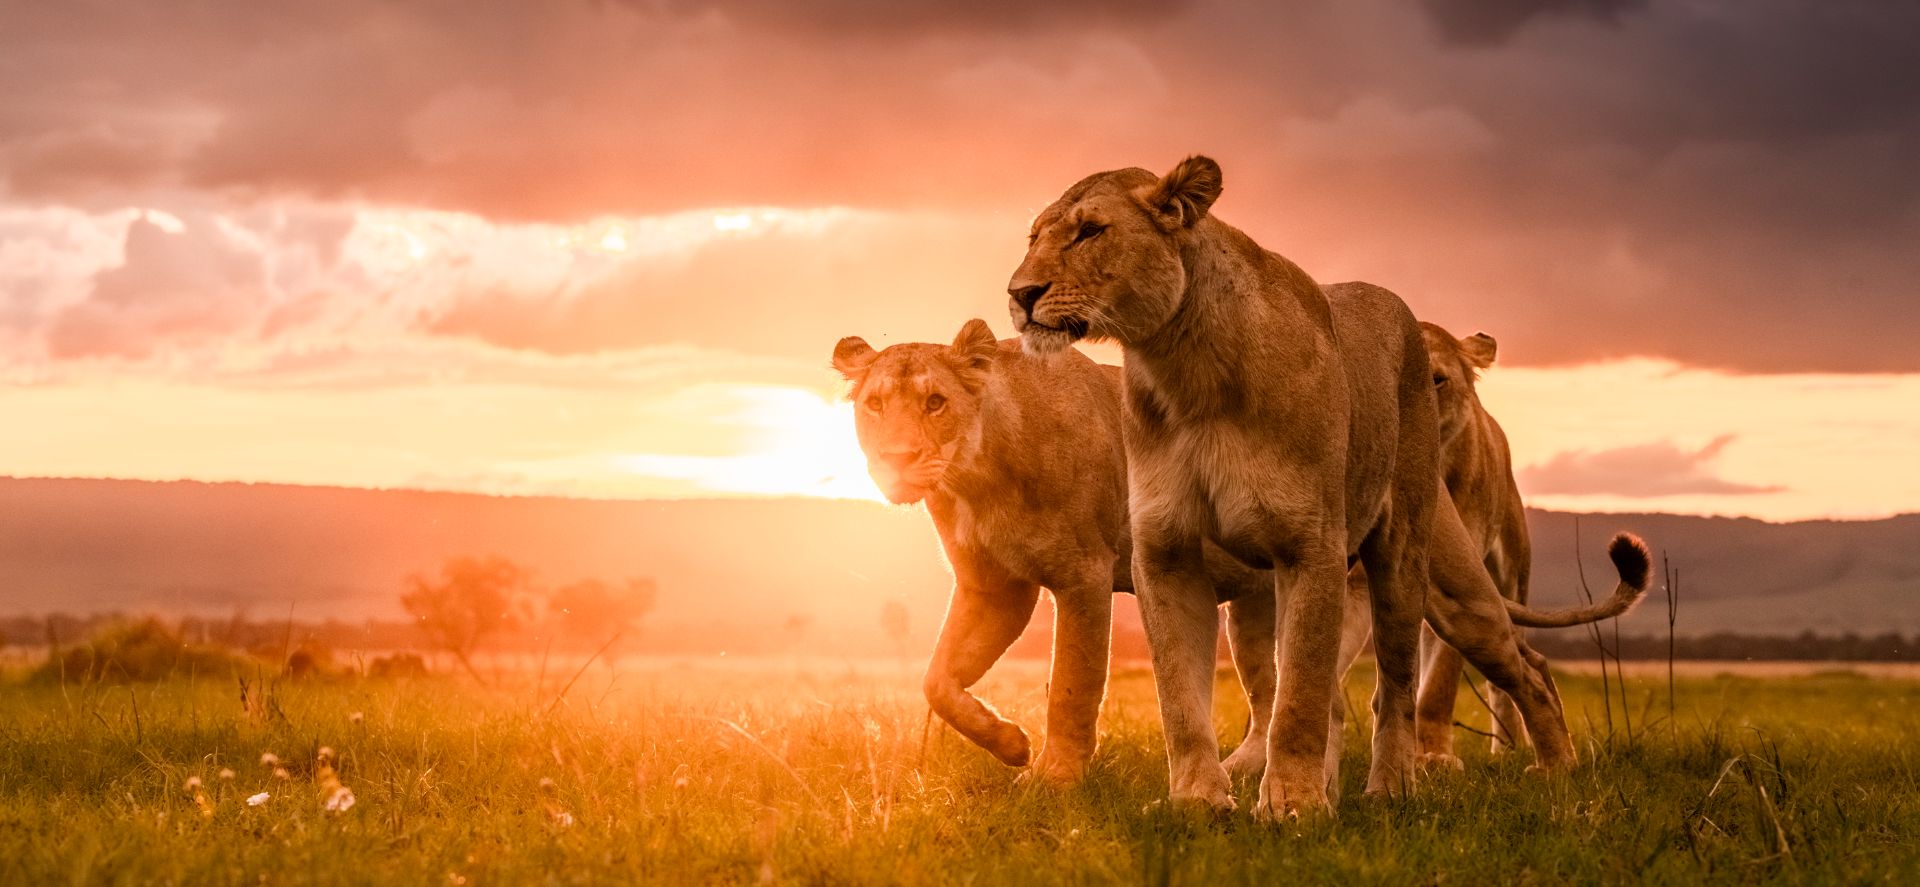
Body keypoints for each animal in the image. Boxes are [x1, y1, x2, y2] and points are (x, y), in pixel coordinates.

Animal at [1007, 155, 1580, 818]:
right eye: (1033, 237)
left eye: (1090, 231)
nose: (1019, 295)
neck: (1182, 367)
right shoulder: (1166, 552)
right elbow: (1180, 697)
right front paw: (1196, 801)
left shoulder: (1310, 544)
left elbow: (1300, 693)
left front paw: (1294, 806)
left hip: (1423, 572)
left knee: (1437, 680)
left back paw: (1497, 776)